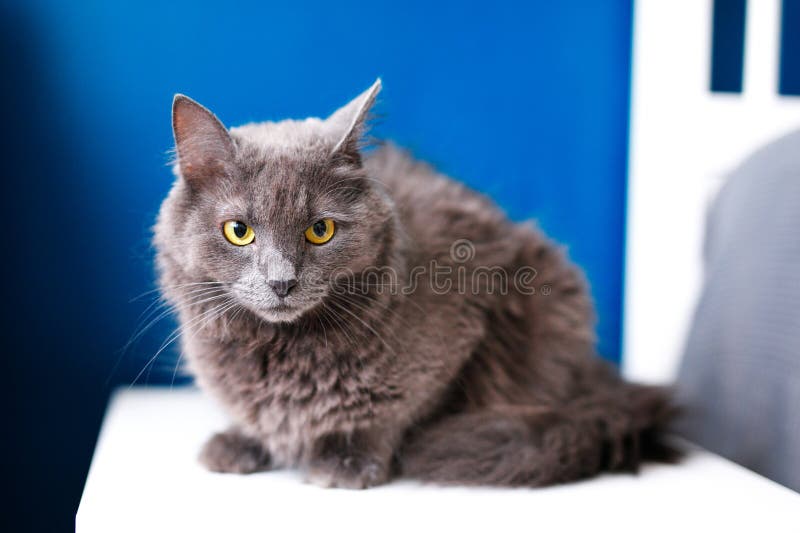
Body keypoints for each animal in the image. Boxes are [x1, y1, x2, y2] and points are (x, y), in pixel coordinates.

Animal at [153, 77, 680, 488]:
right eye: (238, 231)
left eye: (320, 230)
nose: (282, 281)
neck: (284, 347)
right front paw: (243, 440)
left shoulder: (463, 329)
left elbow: (393, 411)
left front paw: (349, 460)